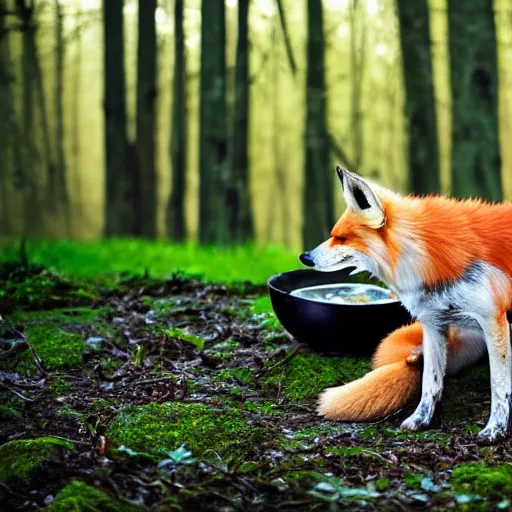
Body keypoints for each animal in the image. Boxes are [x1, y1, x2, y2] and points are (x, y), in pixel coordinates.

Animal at [300, 166, 512, 442]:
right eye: (333, 235)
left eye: (341, 238)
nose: (304, 257)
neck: (426, 256)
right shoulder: (434, 323)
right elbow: (430, 382)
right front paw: (420, 420)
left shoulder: (493, 320)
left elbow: (499, 386)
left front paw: (495, 430)